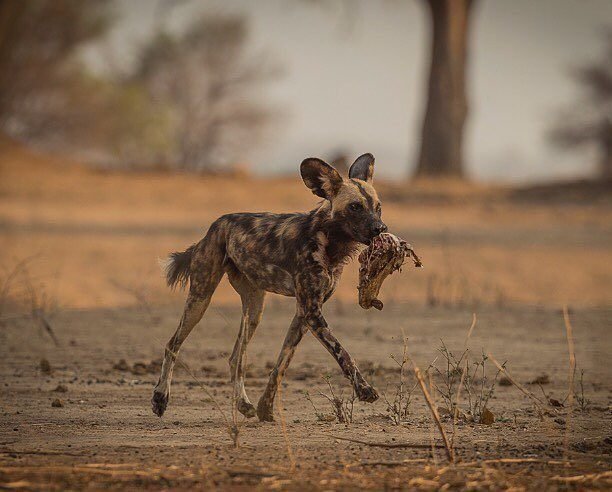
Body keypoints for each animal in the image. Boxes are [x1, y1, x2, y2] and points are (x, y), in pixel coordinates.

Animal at [151, 155, 384, 422]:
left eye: (378, 207)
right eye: (355, 207)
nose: (380, 228)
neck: (328, 240)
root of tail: (214, 227)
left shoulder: (304, 313)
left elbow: (281, 363)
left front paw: (265, 407)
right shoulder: (311, 312)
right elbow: (343, 353)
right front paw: (365, 390)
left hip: (255, 310)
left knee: (236, 358)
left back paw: (243, 404)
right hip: (201, 298)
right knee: (172, 345)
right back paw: (160, 398)